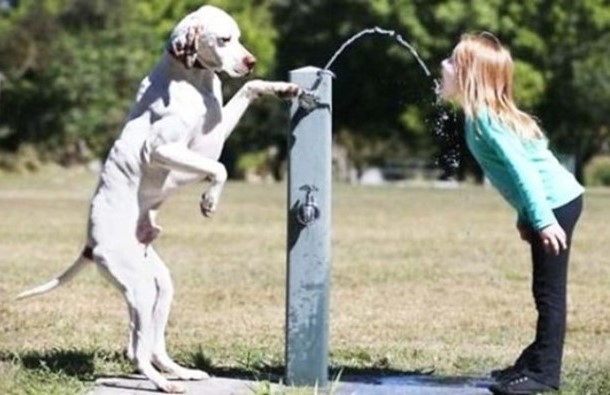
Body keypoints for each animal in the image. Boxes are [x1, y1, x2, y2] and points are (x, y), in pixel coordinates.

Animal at [16, 4, 296, 394]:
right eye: (225, 39)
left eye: (239, 37)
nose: (251, 60)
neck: (191, 79)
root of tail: (90, 244)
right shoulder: (166, 149)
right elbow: (220, 168)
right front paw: (209, 200)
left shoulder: (214, 135)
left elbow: (249, 90)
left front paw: (282, 88)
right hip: (140, 290)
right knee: (136, 350)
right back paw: (163, 384)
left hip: (159, 286)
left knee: (152, 345)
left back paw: (180, 373)